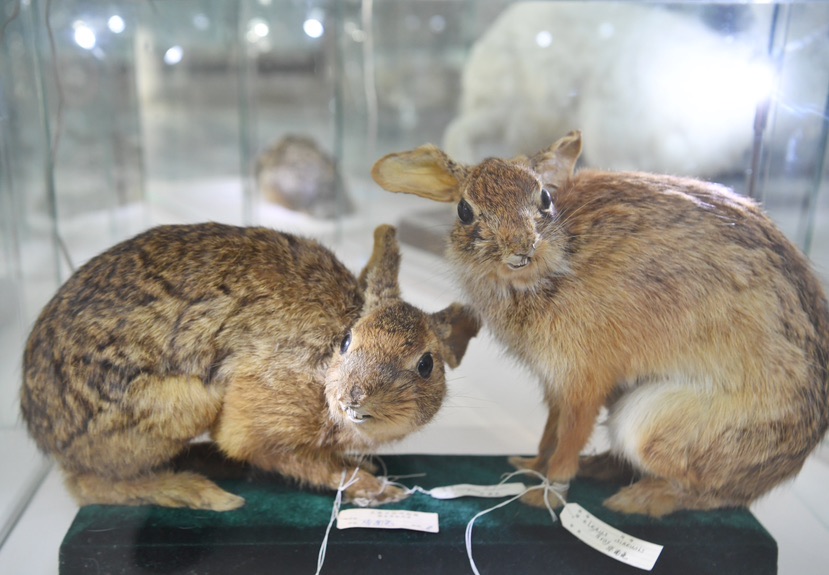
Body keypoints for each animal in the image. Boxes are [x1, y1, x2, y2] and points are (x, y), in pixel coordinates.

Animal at [22, 223, 478, 510]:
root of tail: (45, 432)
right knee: (86, 485)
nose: (355, 397)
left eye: (425, 365)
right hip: (184, 405)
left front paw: (365, 470)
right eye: (347, 341)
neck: (322, 374)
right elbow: (300, 462)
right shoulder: (261, 425)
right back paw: (197, 491)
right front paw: (377, 489)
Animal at [372, 133, 828, 520]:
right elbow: (550, 431)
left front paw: (545, 494)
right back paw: (601, 470)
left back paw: (637, 500)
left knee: (712, 493)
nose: (522, 248)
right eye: (465, 211)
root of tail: (789, 463)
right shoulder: (556, 383)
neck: (556, 263)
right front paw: (529, 466)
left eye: (544, 198)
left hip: (650, 423)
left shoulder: (584, 378)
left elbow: (570, 436)